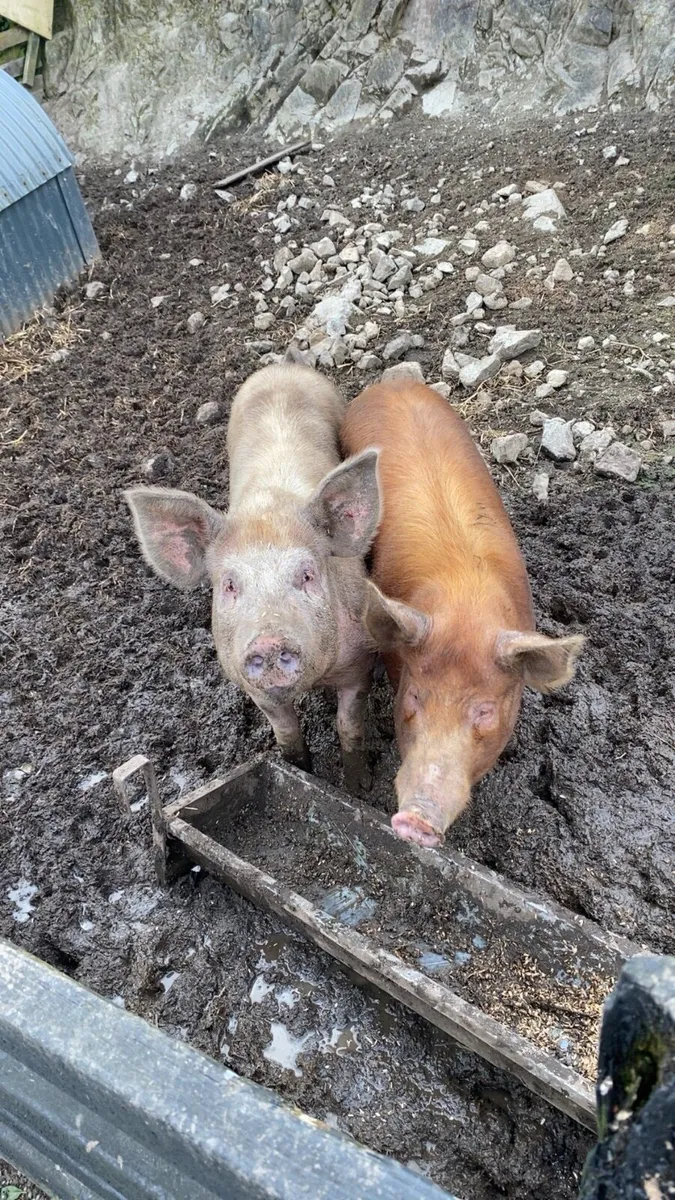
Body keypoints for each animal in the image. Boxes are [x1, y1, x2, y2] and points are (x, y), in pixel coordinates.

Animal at [125, 363, 381, 792]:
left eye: (307, 574)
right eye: (229, 585)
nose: (269, 641)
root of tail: (284, 365)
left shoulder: (359, 663)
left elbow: (350, 729)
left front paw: (358, 787)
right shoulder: (251, 685)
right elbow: (287, 736)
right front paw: (300, 770)